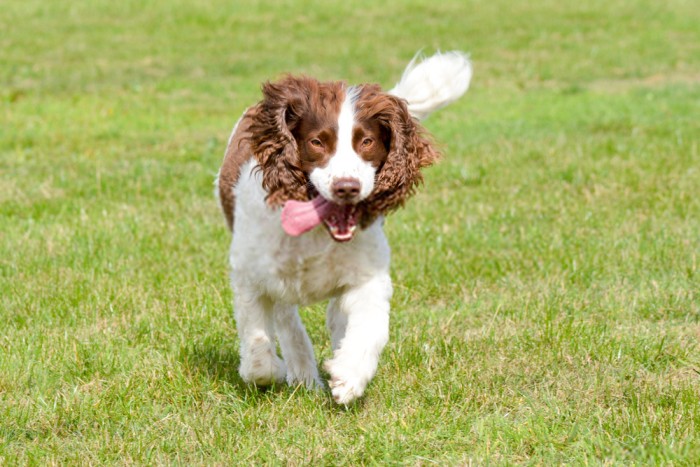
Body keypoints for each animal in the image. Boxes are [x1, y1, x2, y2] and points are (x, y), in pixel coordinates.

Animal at [216, 50, 474, 402]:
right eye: (316, 142)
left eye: (366, 141)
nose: (347, 187)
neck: (317, 232)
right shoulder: (249, 275)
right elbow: (258, 350)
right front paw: (276, 370)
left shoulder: (369, 276)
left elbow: (370, 327)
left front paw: (349, 375)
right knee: (287, 319)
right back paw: (302, 373)